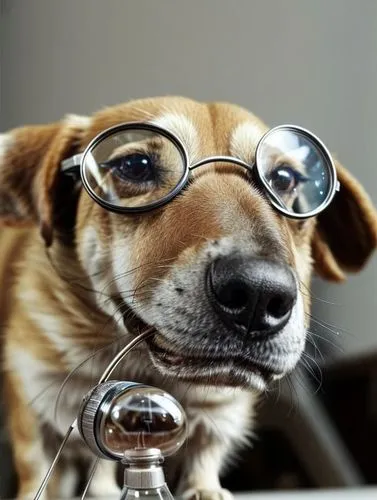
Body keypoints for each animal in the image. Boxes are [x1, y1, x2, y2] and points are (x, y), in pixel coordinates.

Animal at [0, 95, 376, 498]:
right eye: (135, 166)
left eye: (284, 178)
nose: (259, 295)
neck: (150, 372)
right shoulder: (32, 402)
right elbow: (41, 465)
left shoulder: (215, 418)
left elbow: (204, 452)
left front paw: (204, 488)